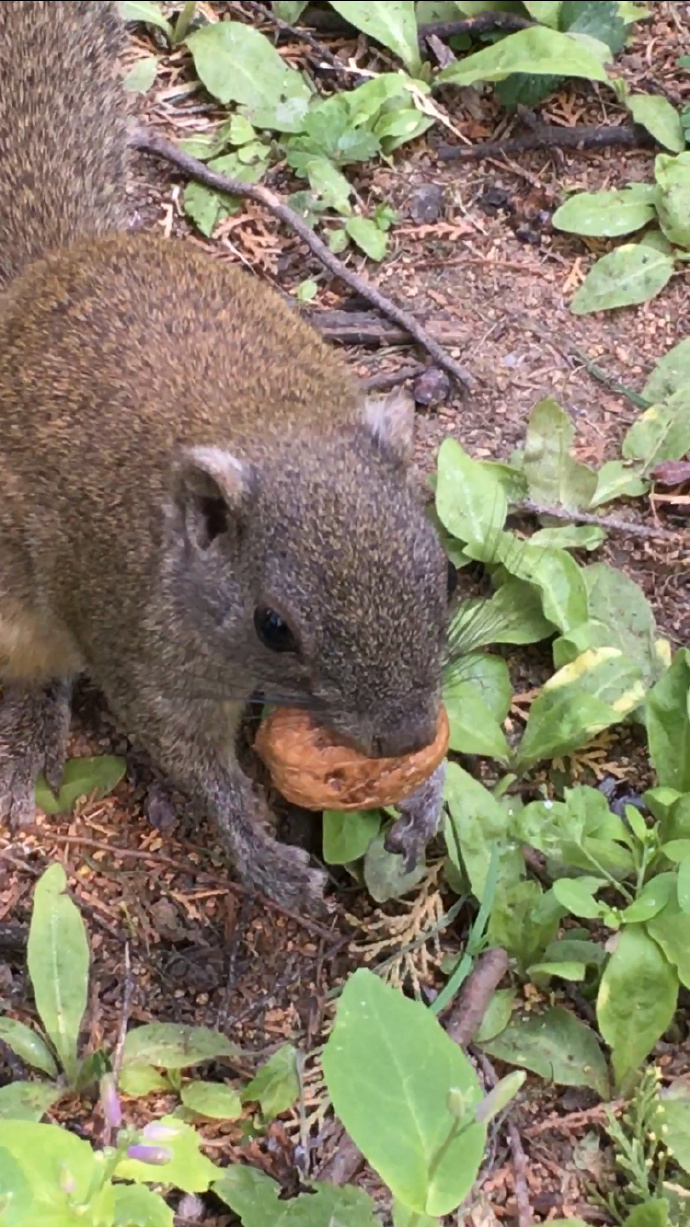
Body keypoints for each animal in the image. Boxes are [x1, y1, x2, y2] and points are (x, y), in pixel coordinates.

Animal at [0, 0, 451, 917]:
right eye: (273, 626)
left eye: (446, 573)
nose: (405, 738)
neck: (257, 421)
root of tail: (44, 273)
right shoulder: (144, 653)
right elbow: (189, 757)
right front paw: (263, 855)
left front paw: (424, 792)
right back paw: (29, 733)